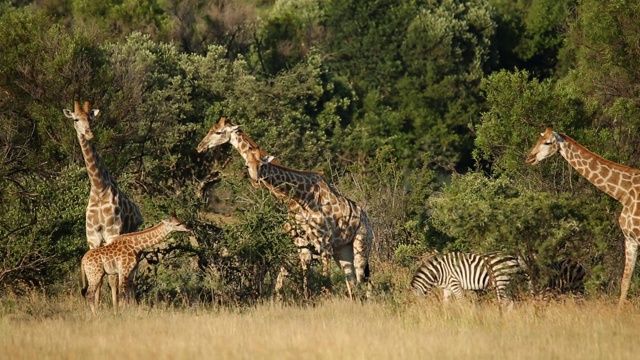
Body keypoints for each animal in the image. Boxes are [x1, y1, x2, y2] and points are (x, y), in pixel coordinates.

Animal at [62, 100, 142, 249]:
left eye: (90, 119)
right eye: (76, 119)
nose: (89, 134)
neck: (99, 187)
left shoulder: (112, 233)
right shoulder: (92, 238)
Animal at [248, 153, 372, 298]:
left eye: (262, 165)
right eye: (247, 165)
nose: (255, 181)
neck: (303, 197)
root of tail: (367, 218)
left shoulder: (324, 245)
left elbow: (324, 276)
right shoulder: (303, 245)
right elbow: (303, 272)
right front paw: (306, 297)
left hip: (361, 243)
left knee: (361, 276)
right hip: (342, 250)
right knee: (352, 279)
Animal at [524, 128, 640, 308]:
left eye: (547, 143)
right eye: (538, 140)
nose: (529, 158)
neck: (623, 193)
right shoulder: (630, 239)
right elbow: (625, 282)